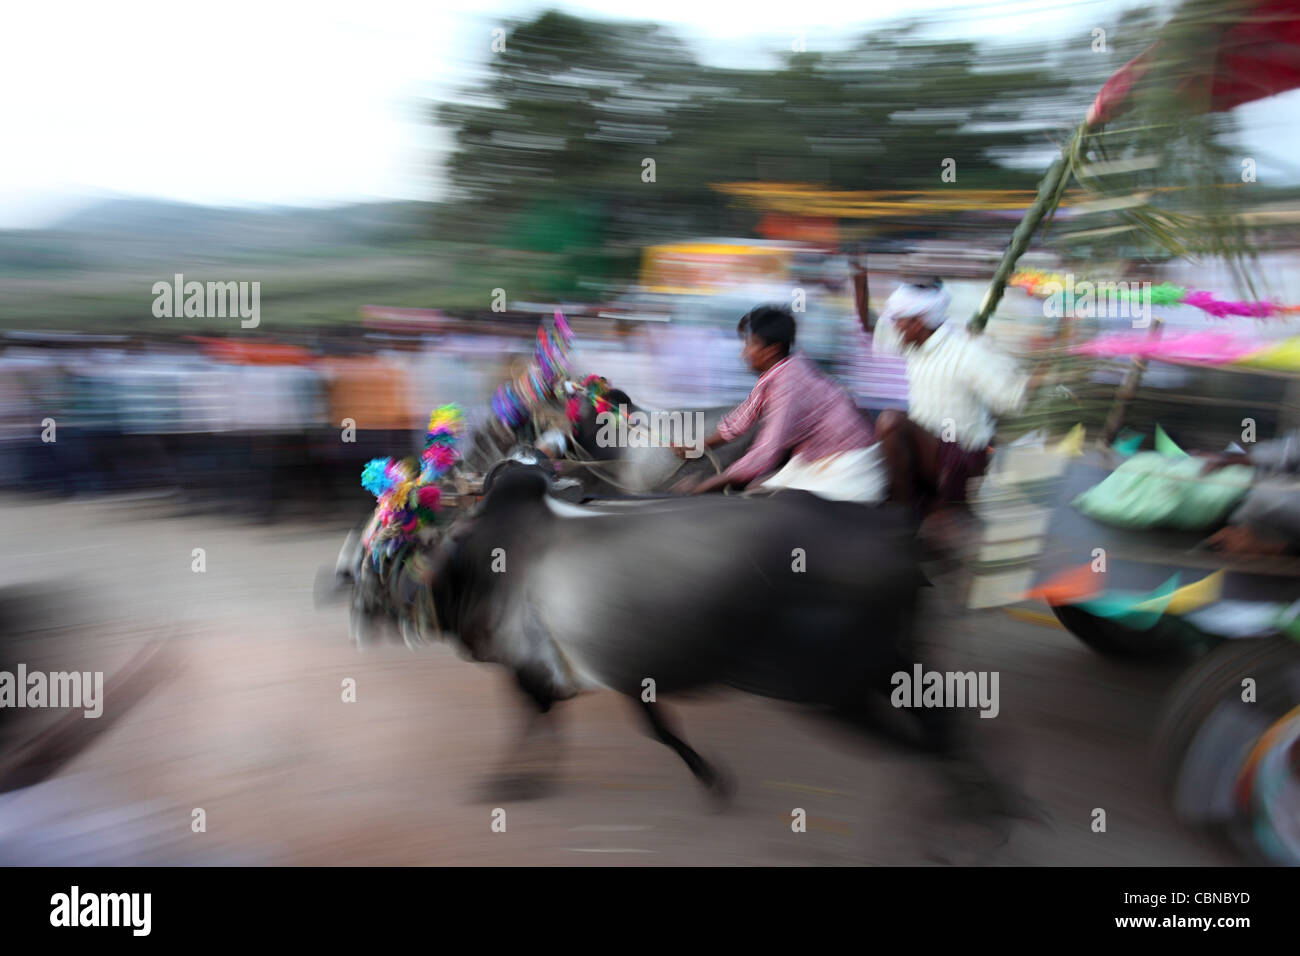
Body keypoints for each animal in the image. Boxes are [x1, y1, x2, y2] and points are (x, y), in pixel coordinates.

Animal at [421, 468, 1029, 827]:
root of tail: (897, 537)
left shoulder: (536, 664)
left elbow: (544, 720)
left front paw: (510, 781)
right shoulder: (615, 670)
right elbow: (648, 726)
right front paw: (711, 779)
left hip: (836, 691)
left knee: (925, 745)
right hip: (892, 666)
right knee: (944, 726)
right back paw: (990, 806)